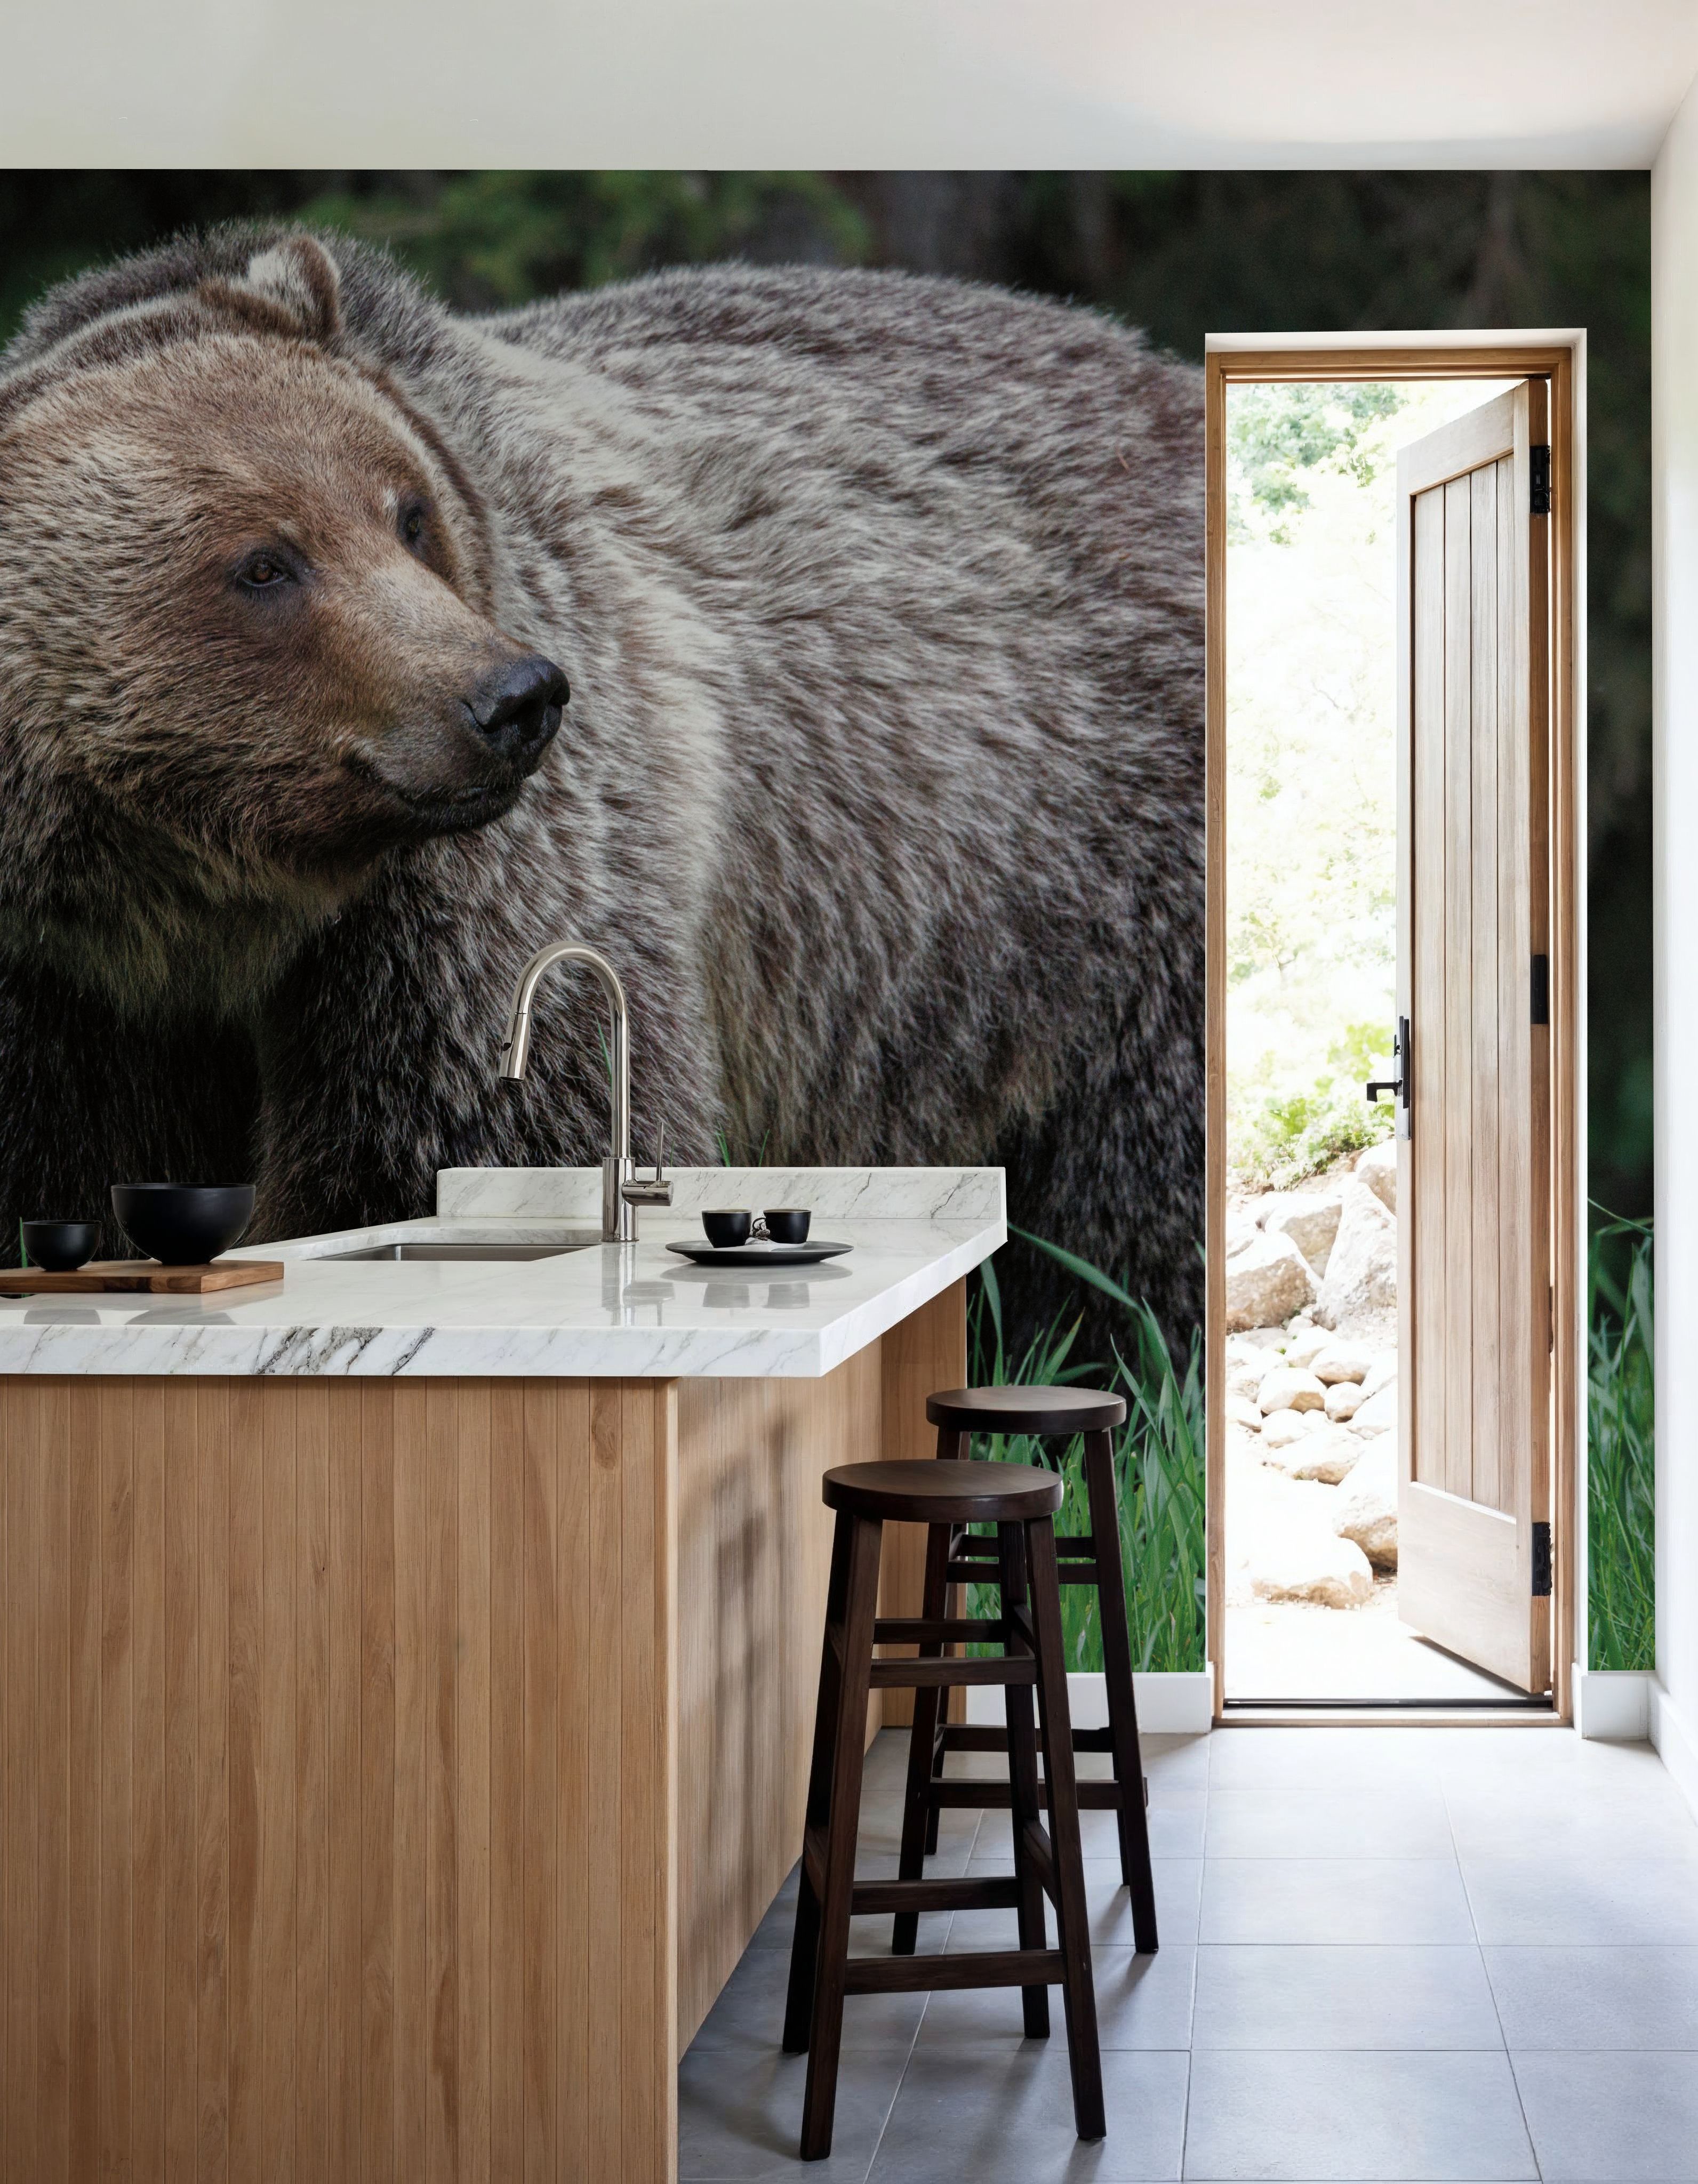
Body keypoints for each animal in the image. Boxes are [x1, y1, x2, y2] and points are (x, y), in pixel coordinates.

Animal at [0, 226, 1203, 1347]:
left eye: (406, 514)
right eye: (263, 564)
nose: (511, 697)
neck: (193, 897)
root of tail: (1150, 365)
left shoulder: (462, 897)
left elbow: (468, 1124)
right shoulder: (64, 990)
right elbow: (78, 1167)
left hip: (1082, 861)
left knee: (1142, 1164)